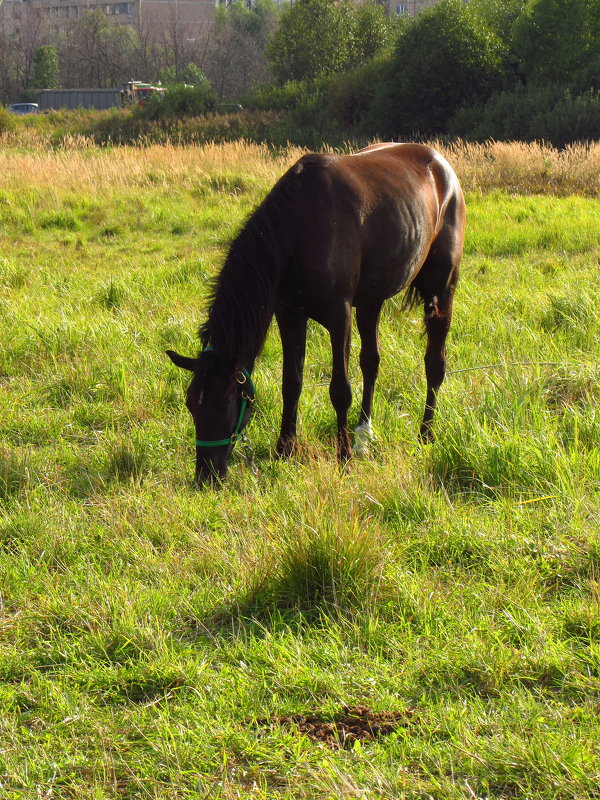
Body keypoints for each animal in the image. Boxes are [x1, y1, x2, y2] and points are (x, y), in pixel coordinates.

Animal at [166, 142, 466, 482]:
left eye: (223, 404)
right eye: (191, 405)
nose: (206, 477)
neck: (297, 230)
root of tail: (440, 164)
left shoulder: (339, 316)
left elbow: (340, 390)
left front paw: (343, 457)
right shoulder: (289, 314)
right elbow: (291, 382)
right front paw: (285, 449)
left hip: (442, 291)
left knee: (434, 364)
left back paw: (425, 433)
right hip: (371, 299)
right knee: (371, 362)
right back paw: (364, 436)